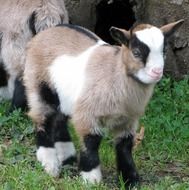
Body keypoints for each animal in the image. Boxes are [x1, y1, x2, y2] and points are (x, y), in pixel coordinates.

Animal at [23, 19, 183, 187]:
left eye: (164, 51)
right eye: (136, 52)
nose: (157, 72)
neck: (115, 72)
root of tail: (47, 31)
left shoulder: (127, 120)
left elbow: (124, 146)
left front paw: (130, 180)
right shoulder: (87, 115)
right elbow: (91, 142)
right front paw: (91, 179)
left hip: (65, 100)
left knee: (59, 122)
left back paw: (68, 159)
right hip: (39, 87)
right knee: (42, 120)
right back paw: (50, 164)